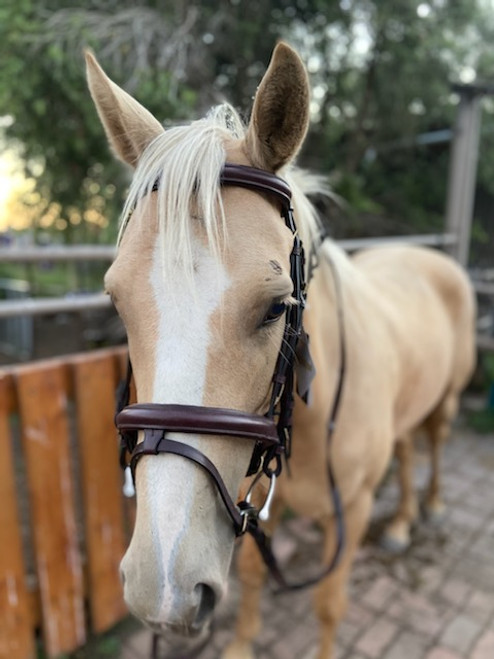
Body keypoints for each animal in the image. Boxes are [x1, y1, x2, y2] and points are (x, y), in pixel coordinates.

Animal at [88, 43, 474, 656]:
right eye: (117, 302)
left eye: (276, 307)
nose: (161, 591)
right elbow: (248, 577)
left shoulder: (351, 509)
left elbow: (328, 603)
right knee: (408, 447)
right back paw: (400, 524)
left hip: (448, 398)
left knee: (432, 442)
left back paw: (427, 509)